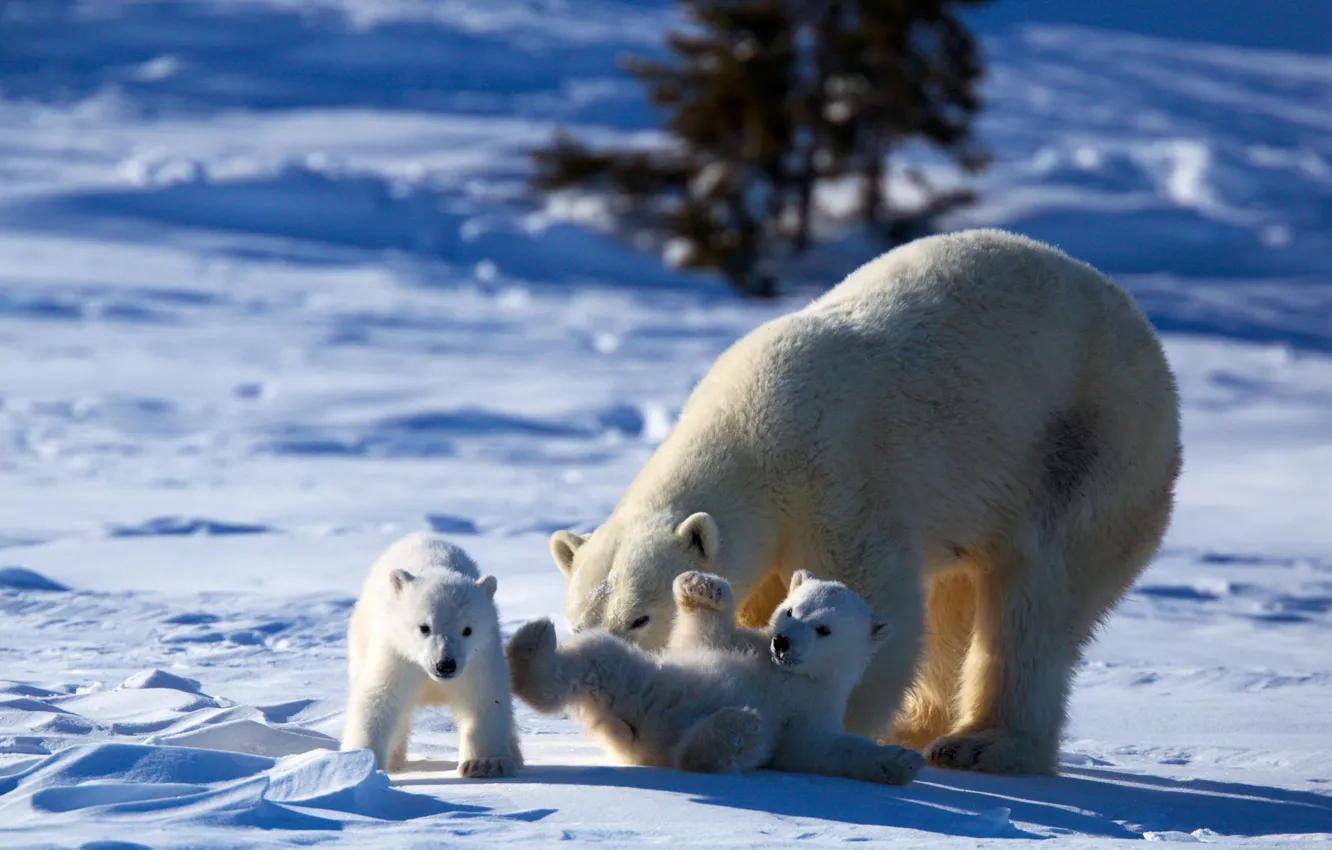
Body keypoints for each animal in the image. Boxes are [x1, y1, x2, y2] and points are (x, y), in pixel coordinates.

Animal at [341, 531, 522, 778]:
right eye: (424, 627)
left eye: (467, 630)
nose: (445, 665)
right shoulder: (397, 653)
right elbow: (380, 697)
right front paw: (361, 761)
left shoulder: (479, 657)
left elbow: (485, 697)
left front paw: (484, 764)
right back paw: (394, 761)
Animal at [507, 569, 925, 785]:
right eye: (791, 610)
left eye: (824, 629)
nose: (782, 642)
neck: (790, 674)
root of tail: (640, 739)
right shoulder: (738, 643)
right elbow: (702, 633)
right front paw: (700, 586)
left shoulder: (815, 706)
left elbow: (816, 748)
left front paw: (901, 760)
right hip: (643, 680)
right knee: (598, 657)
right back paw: (530, 650)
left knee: (739, 745)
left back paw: (731, 731)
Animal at [549, 228, 1182, 774]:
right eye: (578, 622)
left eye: (640, 617)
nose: (604, 652)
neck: (750, 430)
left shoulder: (834, 475)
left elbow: (867, 600)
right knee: (955, 601)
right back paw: (920, 724)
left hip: (1086, 450)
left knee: (1035, 601)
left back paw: (985, 744)